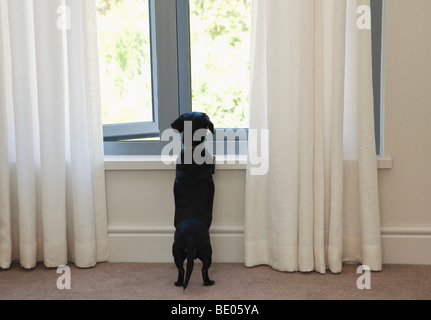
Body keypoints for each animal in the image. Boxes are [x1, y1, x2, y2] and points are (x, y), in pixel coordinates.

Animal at [170, 112, 215, 290]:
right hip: (207, 251)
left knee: (181, 270)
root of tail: (189, 239)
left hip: (176, 252)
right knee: (204, 270)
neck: (192, 149)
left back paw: (178, 283)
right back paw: (209, 282)